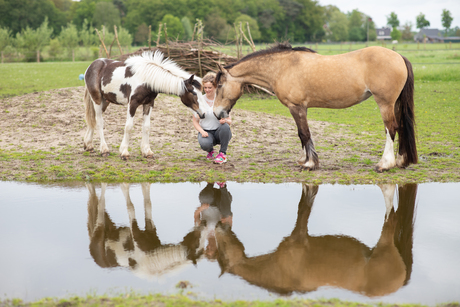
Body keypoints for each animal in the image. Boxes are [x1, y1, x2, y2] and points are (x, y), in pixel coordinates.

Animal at [214, 43, 418, 173]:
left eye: (219, 86)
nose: (217, 113)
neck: (283, 67)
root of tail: (399, 57)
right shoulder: (300, 108)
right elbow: (302, 134)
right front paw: (304, 159)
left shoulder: (296, 107)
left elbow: (304, 133)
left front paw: (310, 164)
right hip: (395, 104)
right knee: (400, 127)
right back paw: (401, 161)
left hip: (385, 103)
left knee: (391, 128)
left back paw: (385, 164)